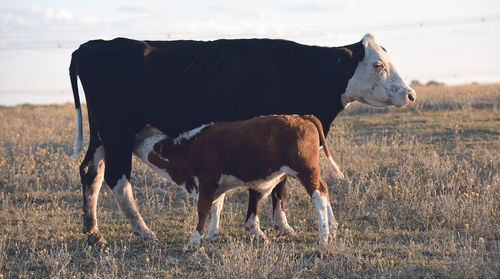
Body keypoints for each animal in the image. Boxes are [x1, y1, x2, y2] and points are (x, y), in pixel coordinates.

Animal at [133, 115, 344, 246]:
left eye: (156, 146)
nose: (137, 142)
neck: (190, 148)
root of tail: (302, 117)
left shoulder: (207, 182)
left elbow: (203, 210)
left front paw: (195, 239)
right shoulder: (216, 185)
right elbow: (216, 206)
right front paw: (211, 234)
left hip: (305, 172)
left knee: (318, 197)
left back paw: (323, 237)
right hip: (310, 173)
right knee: (324, 189)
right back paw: (332, 228)